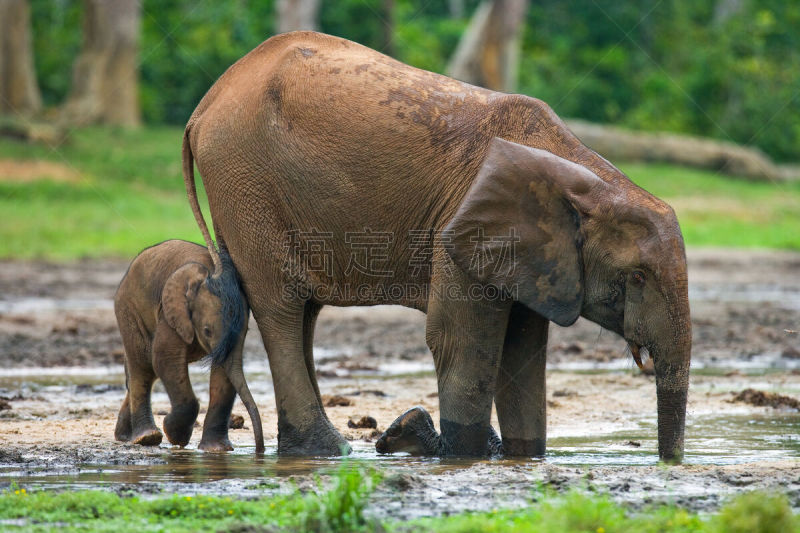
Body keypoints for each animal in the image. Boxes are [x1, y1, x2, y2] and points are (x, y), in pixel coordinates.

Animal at [114, 239, 264, 450]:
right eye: (207, 331)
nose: (260, 450)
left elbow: (224, 374)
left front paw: (217, 449)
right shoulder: (171, 312)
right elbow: (165, 358)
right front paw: (177, 437)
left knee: (146, 370)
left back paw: (125, 436)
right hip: (129, 309)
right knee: (143, 365)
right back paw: (147, 438)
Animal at [184, 31, 692, 460]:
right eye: (637, 276)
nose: (669, 464)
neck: (580, 178)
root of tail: (205, 104)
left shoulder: (533, 258)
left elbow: (523, 352)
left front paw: (520, 457)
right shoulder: (462, 230)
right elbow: (460, 342)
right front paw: (457, 452)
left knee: (279, 308)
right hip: (246, 183)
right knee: (282, 306)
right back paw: (329, 451)